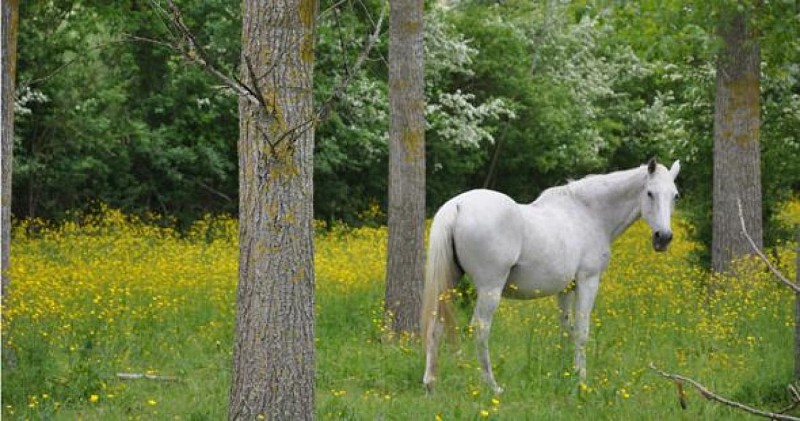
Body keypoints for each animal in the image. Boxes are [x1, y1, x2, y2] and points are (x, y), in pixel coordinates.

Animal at [422, 158, 680, 394]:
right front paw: (581, 380)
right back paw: (492, 385)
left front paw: (566, 372)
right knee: (480, 329)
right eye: (650, 193)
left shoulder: (565, 289)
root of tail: (457, 205)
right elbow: (582, 331)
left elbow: (567, 329)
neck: (588, 214)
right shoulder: (588, 281)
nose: (664, 238)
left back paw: (431, 383)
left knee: (436, 325)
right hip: (489, 290)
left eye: (675, 196)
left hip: (448, 285)